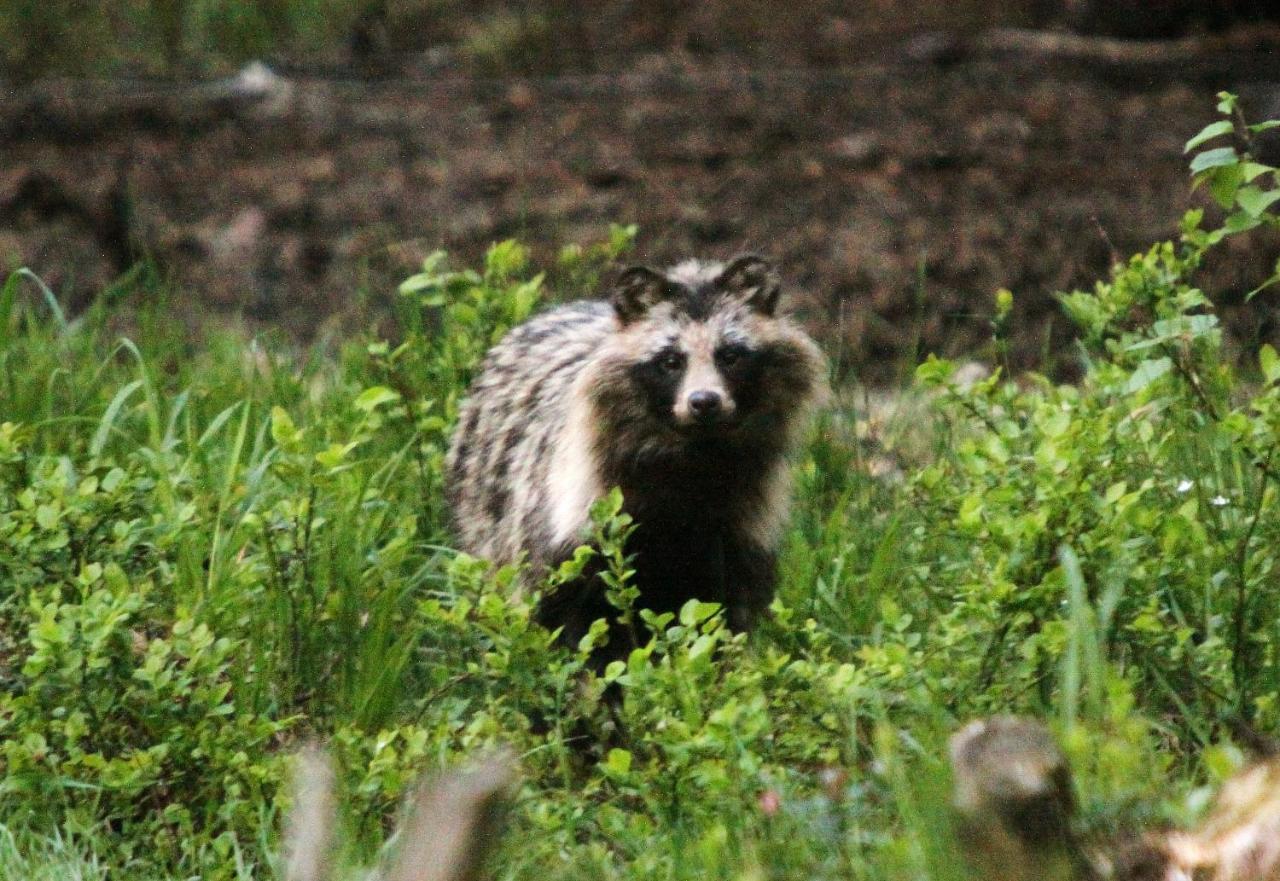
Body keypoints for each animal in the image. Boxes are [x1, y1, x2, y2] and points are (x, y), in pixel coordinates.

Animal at [448, 253, 829, 653]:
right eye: (671, 361)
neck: (694, 456)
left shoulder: (740, 525)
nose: (704, 402)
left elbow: (724, 612)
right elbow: (572, 619)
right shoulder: (576, 521)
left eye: (730, 356)